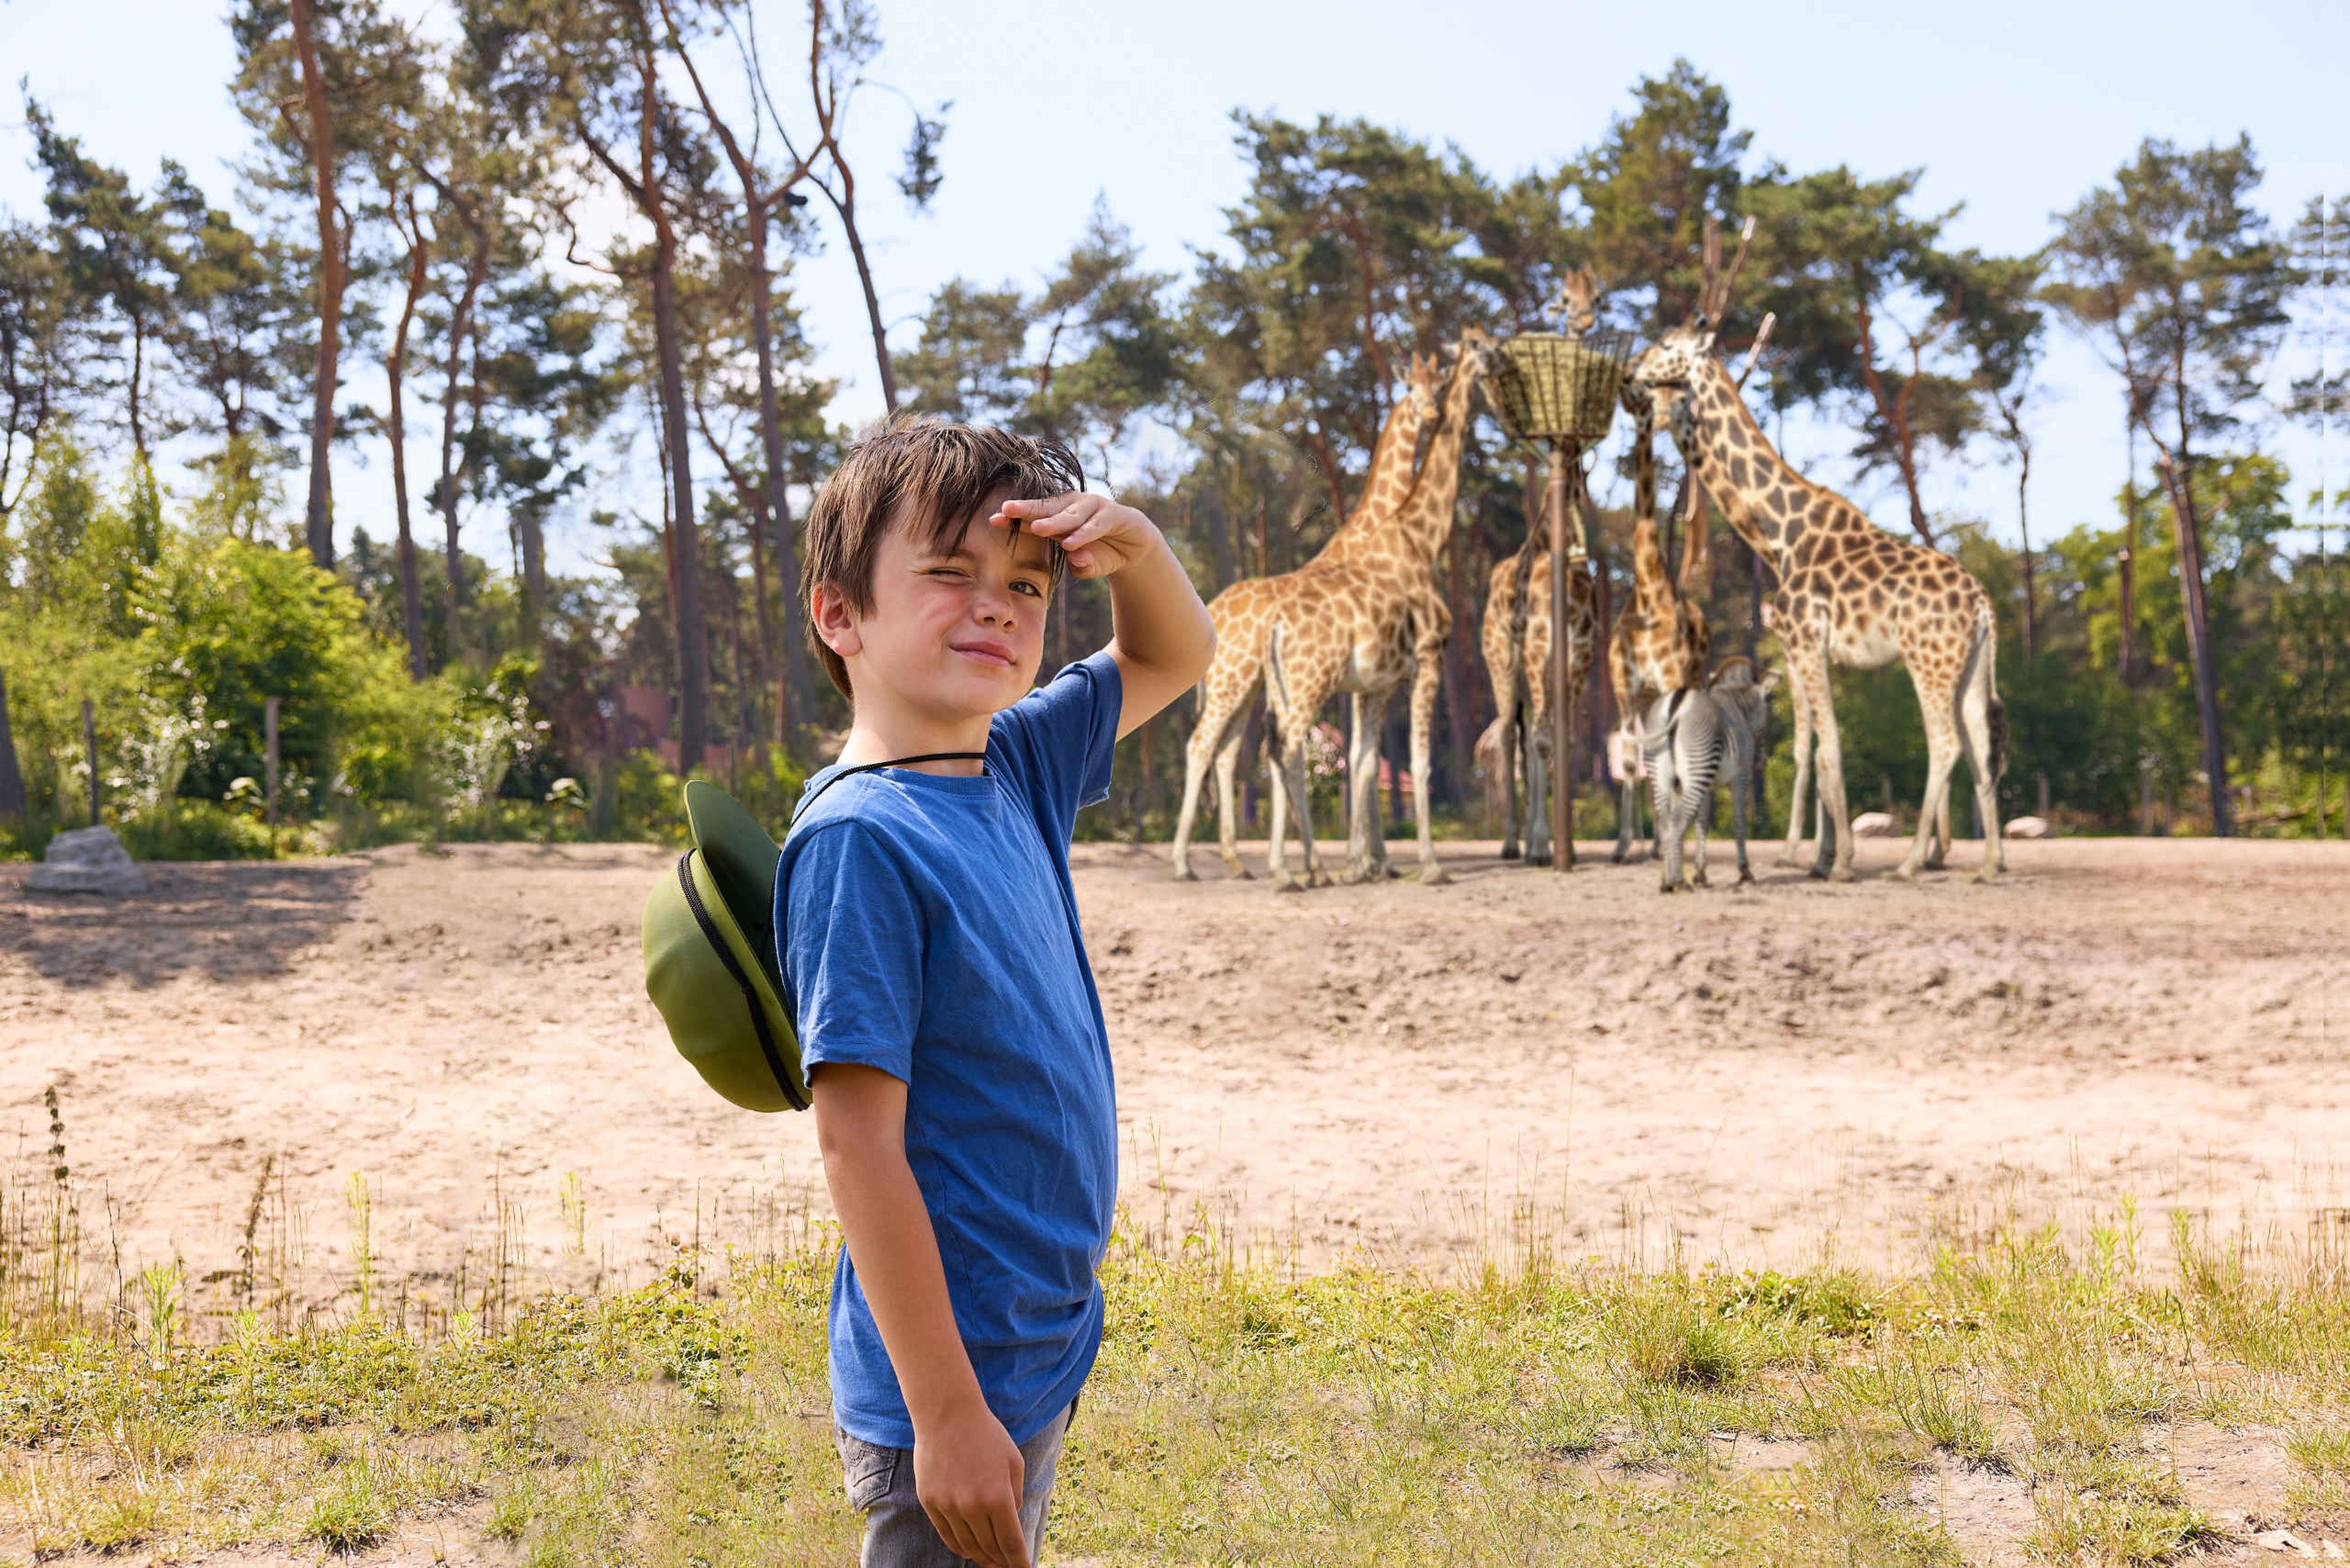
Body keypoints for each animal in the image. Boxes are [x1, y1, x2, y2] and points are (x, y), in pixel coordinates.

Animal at [1641, 660, 1779, 893]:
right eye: (1769, 710)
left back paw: (1667, 882)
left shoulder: (1706, 786)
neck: (1738, 707)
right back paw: (1677, 882)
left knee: (1665, 822)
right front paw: (1745, 873)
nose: (1761, 765)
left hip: (1666, 775)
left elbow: (1701, 825)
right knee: (1677, 821)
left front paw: (1700, 874)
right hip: (1698, 768)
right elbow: (1739, 823)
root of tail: (1677, 703)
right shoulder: (1740, 779)